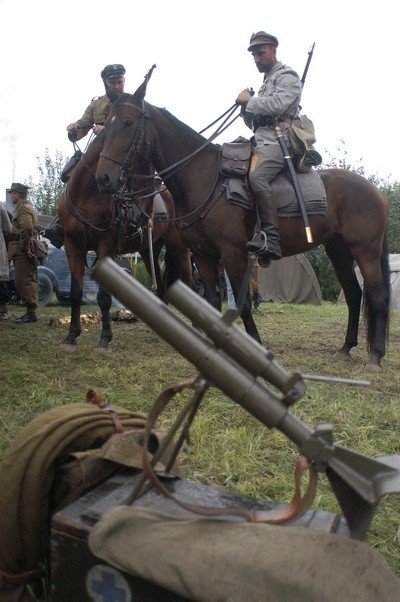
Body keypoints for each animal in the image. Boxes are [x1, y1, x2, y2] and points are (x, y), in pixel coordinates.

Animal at [58, 130, 195, 346]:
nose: (142, 214)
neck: (86, 198)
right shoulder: (72, 247)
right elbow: (75, 292)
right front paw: (72, 336)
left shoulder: (105, 248)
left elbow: (104, 297)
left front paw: (105, 338)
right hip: (149, 252)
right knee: (162, 286)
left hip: (178, 249)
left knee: (190, 285)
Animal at [94, 79, 390, 366]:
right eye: (106, 125)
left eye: (128, 123)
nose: (104, 178)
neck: (204, 178)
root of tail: (376, 192)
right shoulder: (203, 256)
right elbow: (212, 302)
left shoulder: (233, 254)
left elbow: (243, 303)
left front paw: (254, 347)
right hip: (338, 250)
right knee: (353, 294)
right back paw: (346, 347)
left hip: (365, 251)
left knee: (378, 295)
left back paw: (375, 356)